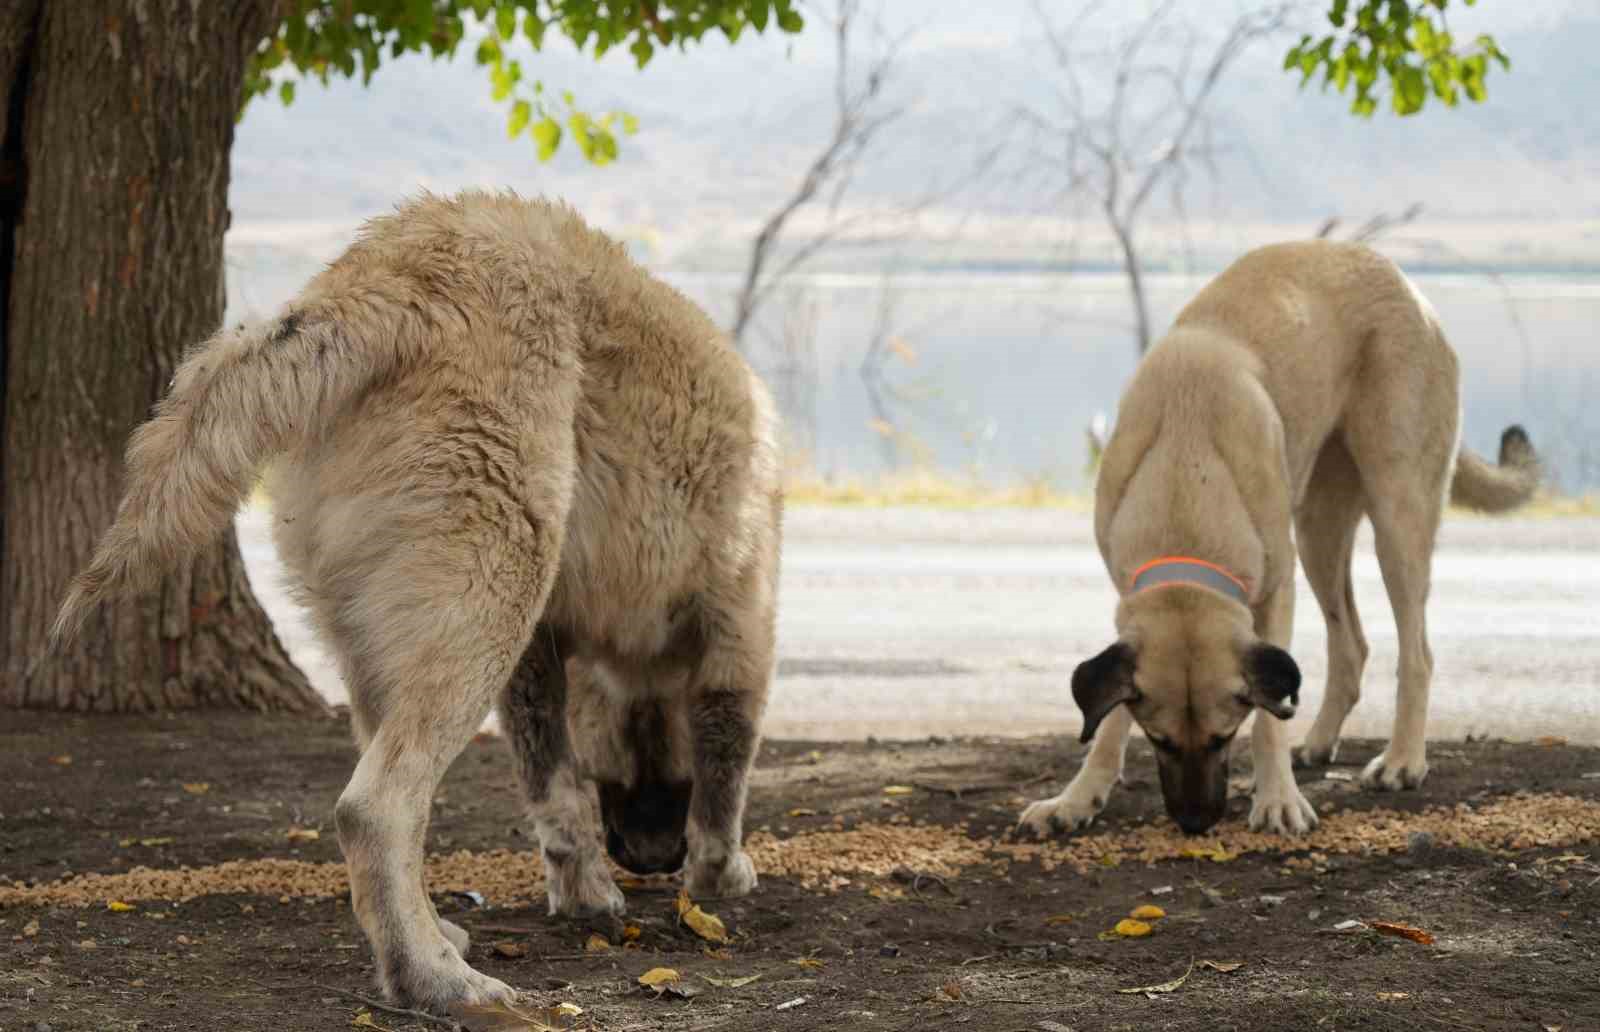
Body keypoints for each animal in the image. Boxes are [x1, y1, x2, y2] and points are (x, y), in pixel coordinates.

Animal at [54, 188, 787, 1011]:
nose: (656, 861)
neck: (632, 654)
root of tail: (384, 280)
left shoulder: (541, 654)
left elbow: (556, 791)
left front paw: (585, 890)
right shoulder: (742, 627)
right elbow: (725, 772)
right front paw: (720, 870)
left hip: (394, 640)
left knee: (394, 807)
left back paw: (434, 936)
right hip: (491, 597)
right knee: (374, 808)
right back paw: (433, 978)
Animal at [1024, 240, 1536, 838]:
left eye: (1224, 736)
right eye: (1159, 740)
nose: (1197, 822)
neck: (1186, 471)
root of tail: (1400, 278)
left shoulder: (1274, 594)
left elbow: (1270, 721)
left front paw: (1278, 800)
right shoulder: (1130, 607)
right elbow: (1110, 716)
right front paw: (1078, 797)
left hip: (1397, 518)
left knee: (1418, 652)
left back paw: (1402, 760)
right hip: (1318, 532)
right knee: (1352, 644)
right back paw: (1318, 742)